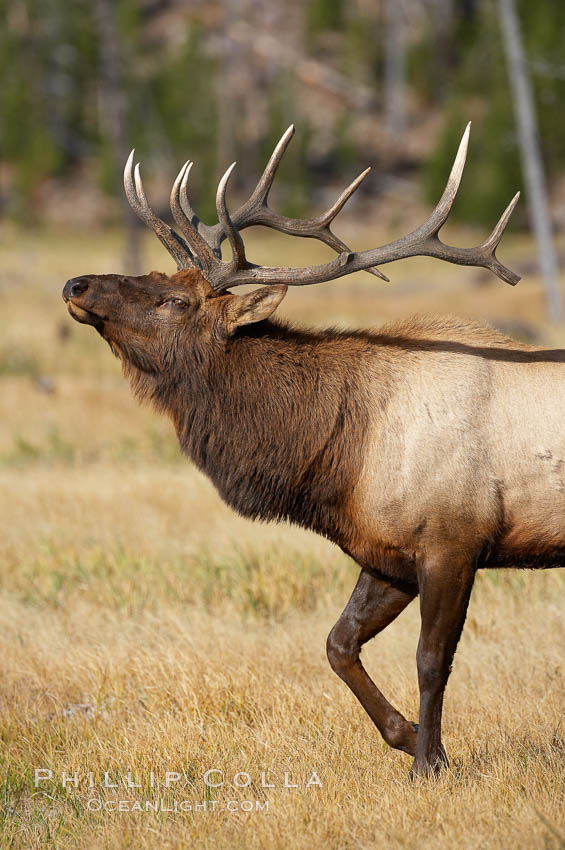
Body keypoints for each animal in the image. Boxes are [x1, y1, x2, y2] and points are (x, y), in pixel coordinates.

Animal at [64, 122, 556, 780]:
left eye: (176, 301)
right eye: (158, 280)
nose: (76, 284)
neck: (341, 461)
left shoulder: (454, 539)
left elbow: (432, 660)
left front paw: (429, 764)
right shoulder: (386, 553)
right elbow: (337, 645)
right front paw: (409, 736)